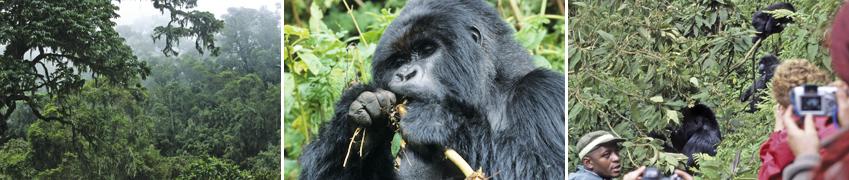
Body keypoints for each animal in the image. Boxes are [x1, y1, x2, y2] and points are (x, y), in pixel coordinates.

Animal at [298, 0, 564, 180]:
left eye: (427, 50)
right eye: (398, 61)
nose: (405, 74)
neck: (490, 91)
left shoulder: (544, 93)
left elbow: (543, 170)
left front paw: (436, 122)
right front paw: (363, 116)